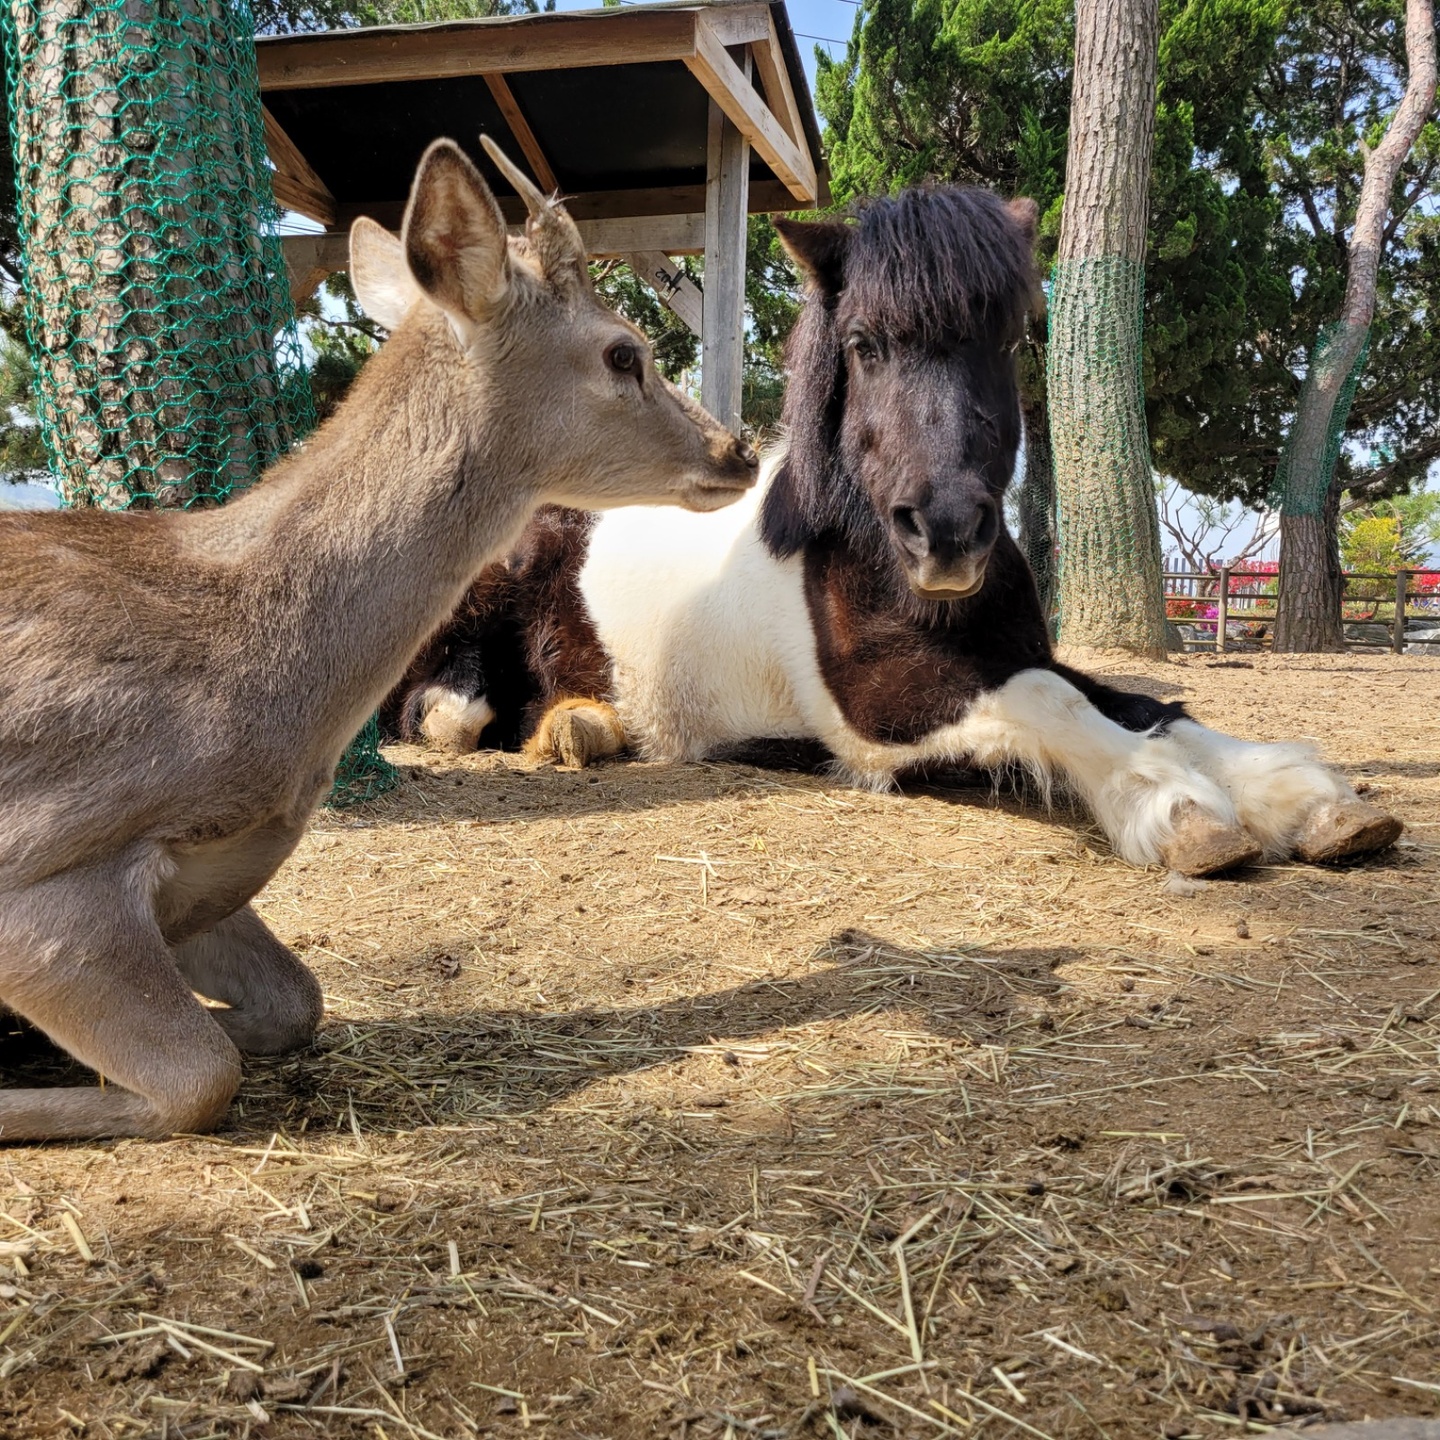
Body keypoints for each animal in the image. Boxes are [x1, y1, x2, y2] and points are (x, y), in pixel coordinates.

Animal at [388, 182, 1399, 875]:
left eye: (1010, 338)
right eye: (864, 345)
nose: (946, 531)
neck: (863, 560)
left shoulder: (1008, 652)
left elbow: (1143, 705)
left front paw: (1299, 797)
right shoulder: (882, 702)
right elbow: (1056, 701)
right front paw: (1177, 807)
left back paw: (583, 725)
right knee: (441, 703)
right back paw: (485, 714)